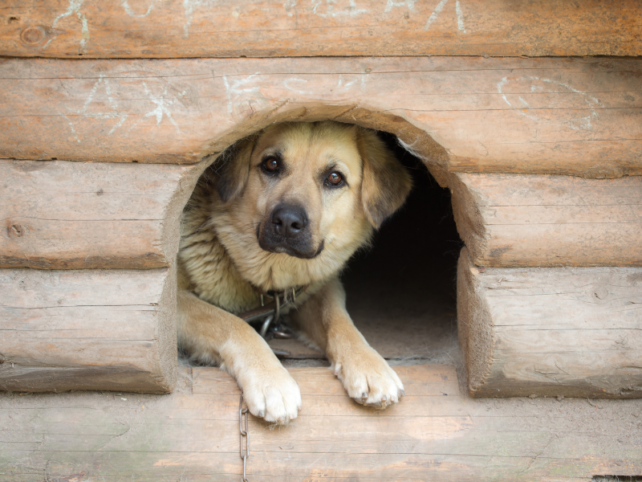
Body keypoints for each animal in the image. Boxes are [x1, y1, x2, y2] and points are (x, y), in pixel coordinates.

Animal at [176, 122, 410, 424]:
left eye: (335, 177)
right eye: (271, 164)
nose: (287, 221)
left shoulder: (320, 289)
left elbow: (339, 320)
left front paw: (370, 365)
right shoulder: (174, 301)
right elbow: (233, 324)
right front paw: (271, 380)